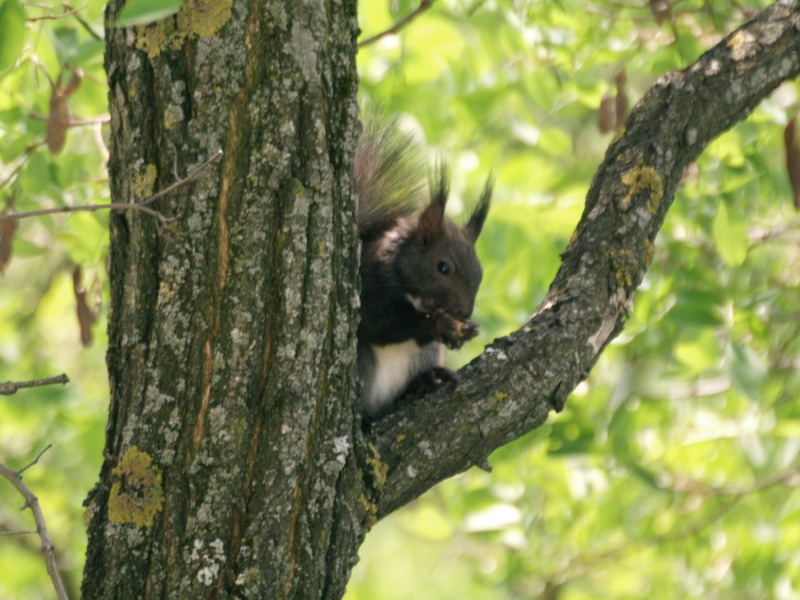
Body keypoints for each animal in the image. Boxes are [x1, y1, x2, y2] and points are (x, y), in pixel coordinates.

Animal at [356, 117, 494, 418]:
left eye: (480, 272)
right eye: (443, 267)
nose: (463, 312)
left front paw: (468, 332)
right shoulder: (368, 285)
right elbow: (379, 324)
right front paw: (437, 324)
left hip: (425, 357)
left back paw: (425, 381)